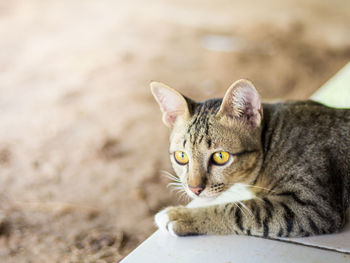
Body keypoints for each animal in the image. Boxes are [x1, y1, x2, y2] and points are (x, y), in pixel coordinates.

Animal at [150, 79, 350, 238]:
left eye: (220, 156)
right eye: (181, 156)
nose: (194, 188)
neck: (272, 141)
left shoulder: (313, 207)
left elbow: (235, 211)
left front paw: (181, 215)